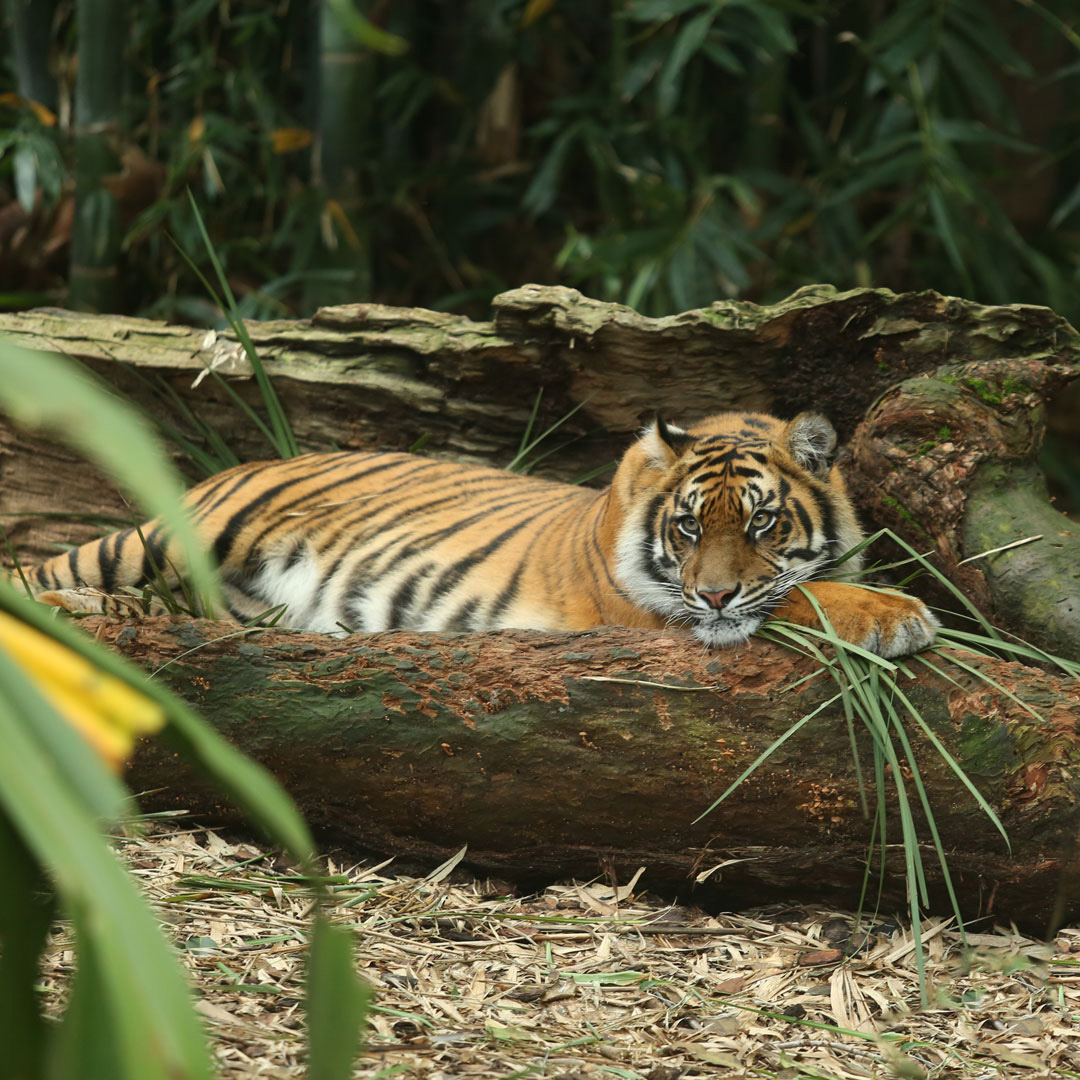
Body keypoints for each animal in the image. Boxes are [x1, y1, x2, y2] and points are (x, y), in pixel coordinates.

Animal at [19, 411, 938, 658]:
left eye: (761, 522)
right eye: (685, 527)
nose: (711, 592)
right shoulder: (650, 614)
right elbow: (798, 597)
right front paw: (899, 615)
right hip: (171, 537)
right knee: (35, 572)